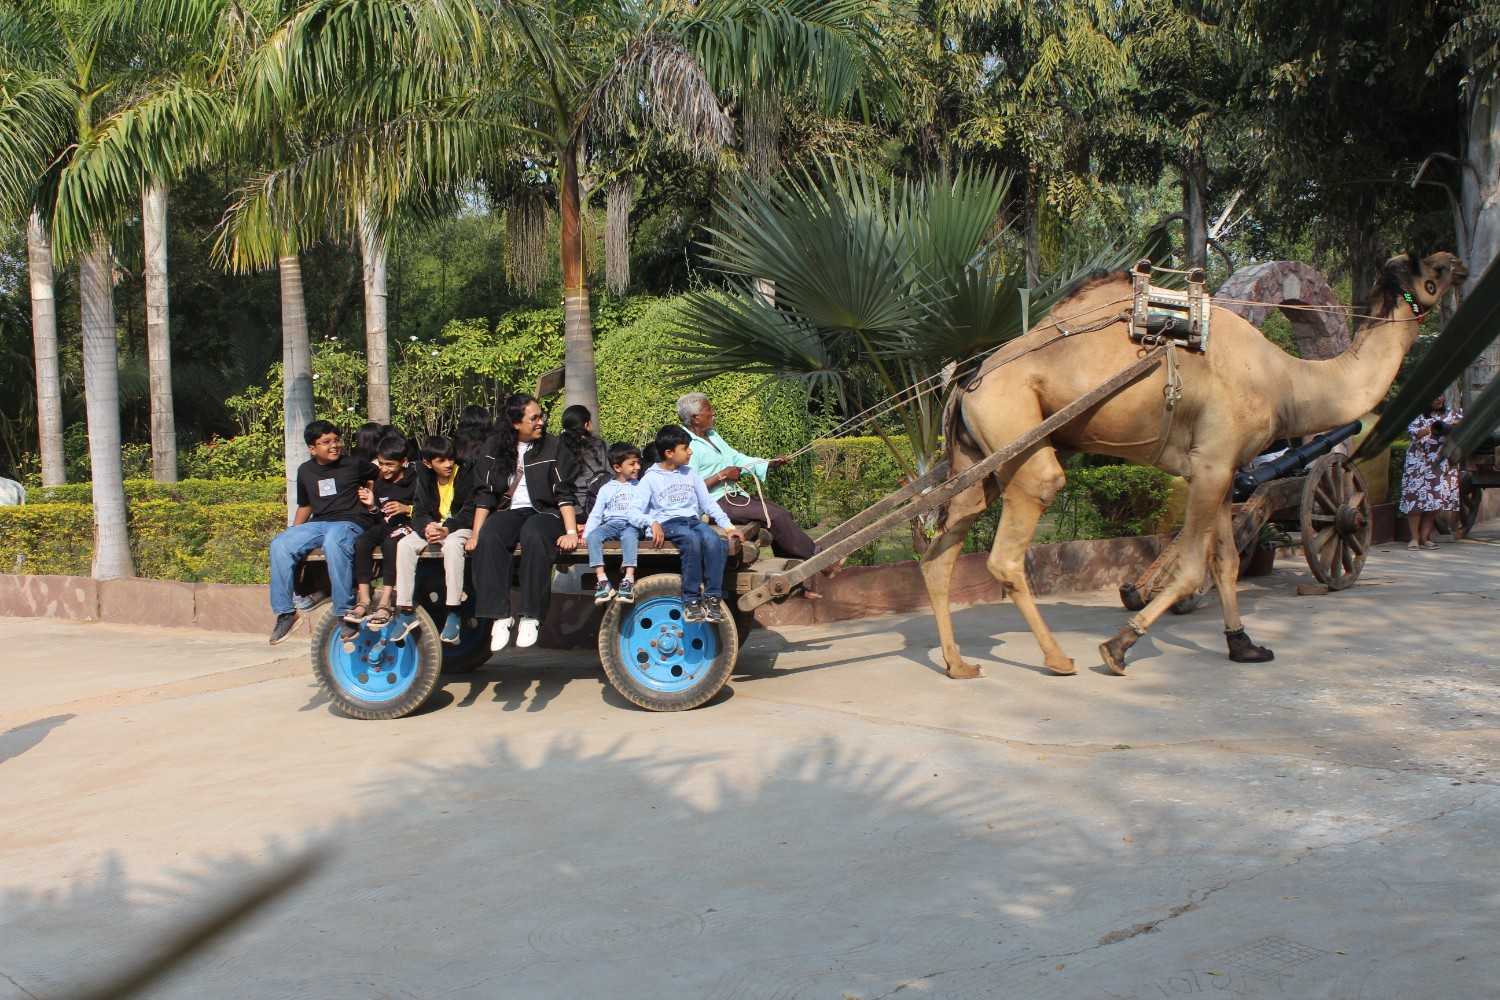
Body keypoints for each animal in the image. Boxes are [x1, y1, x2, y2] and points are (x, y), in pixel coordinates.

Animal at [919, 251, 1468, 678]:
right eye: (1429, 269)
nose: (1460, 265)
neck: (1286, 381)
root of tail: (965, 385)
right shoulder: (1211, 465)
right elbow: (1187, 568)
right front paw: (1118, 646)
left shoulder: (1227, 472)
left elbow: (1225, 562)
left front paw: (1244, 645)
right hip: (1017, 434)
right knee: (1011, 544)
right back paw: (1057, 658)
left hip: (979, 458)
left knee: (943, 547)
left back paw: (958, 663)